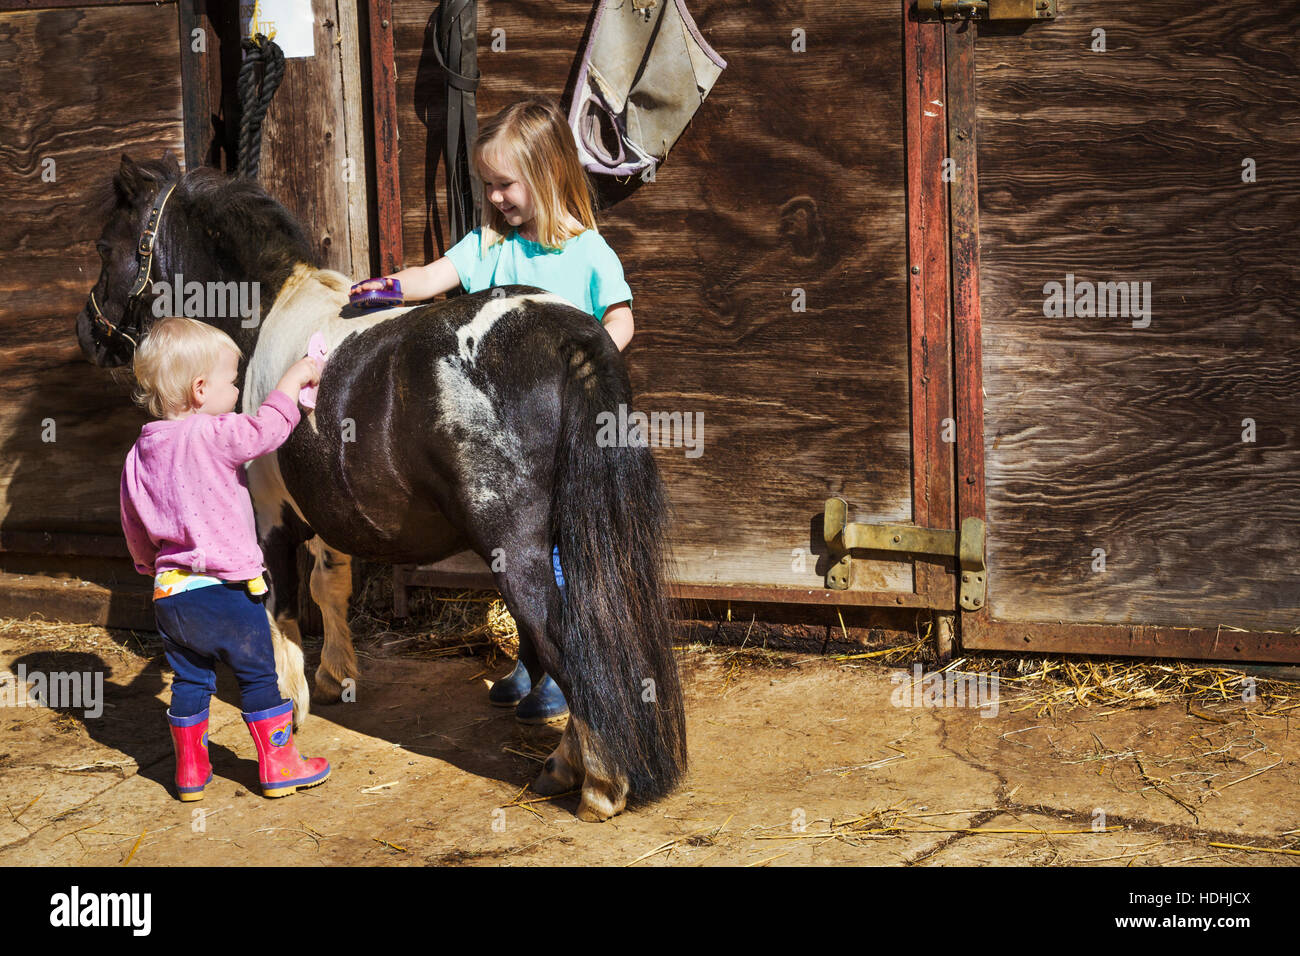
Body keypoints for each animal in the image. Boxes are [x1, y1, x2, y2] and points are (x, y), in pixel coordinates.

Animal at [78, 151, 691, 822]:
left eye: (106, 246)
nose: (87, 332)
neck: (267, 315)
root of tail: (568, 337)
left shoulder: (267, 516)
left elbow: (279, 609)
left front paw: (292, 706)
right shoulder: (322, 509)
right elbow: (329, 585)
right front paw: (337, 675)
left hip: (518, 551)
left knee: (563, 637)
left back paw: (595, 781)